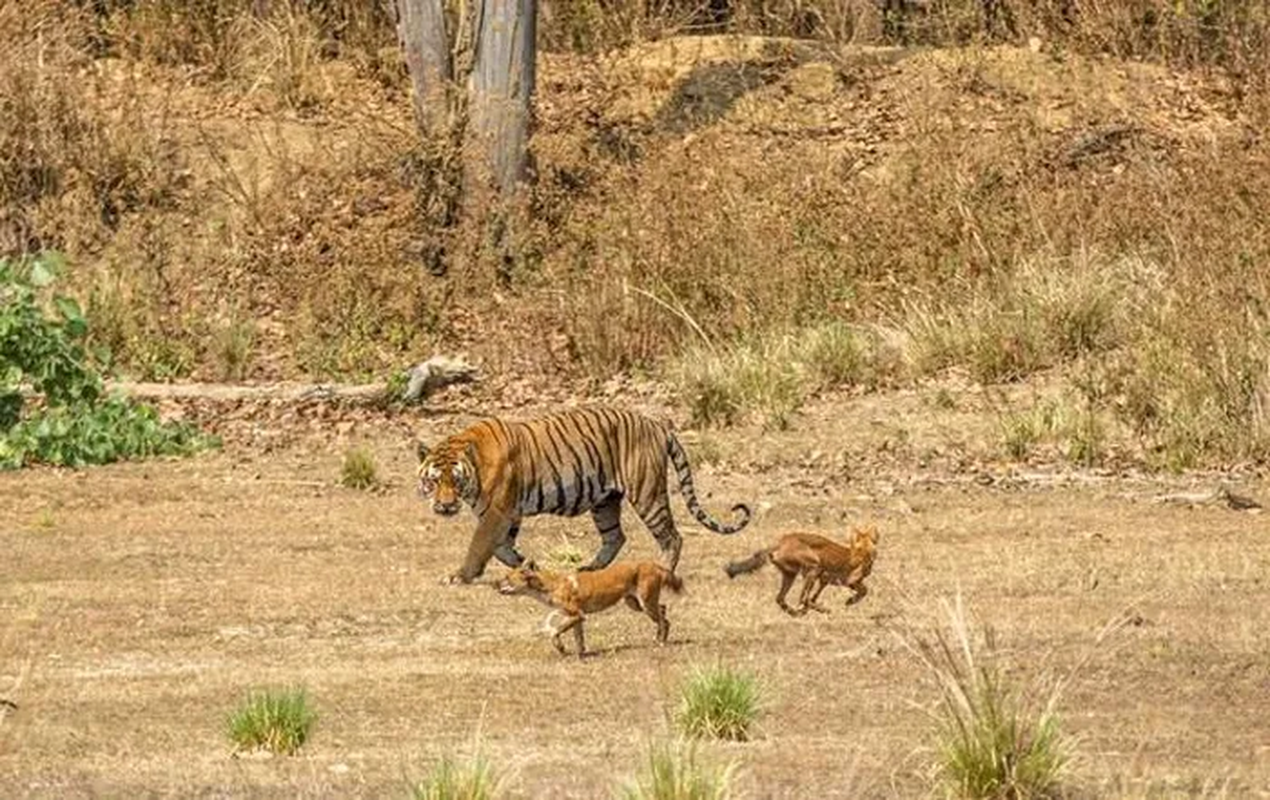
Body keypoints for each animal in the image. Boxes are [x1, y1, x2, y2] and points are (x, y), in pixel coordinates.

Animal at [416, 411, 751, 586]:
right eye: (434, 481)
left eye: (455, 481)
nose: (444, 505)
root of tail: (657, 424)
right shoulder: (508, 514)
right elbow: (501, 548)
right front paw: (527, 565)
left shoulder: (497, 511)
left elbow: (480, 546)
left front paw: (460, 576)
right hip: (605, 501)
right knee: (616, 537)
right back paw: (590, 570)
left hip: (646, 493)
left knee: (672, 537)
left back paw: (663, 572)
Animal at [495, 561, 685, 660]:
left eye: (507, 578)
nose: (494, 583)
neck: (550, 586)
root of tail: (654, 563)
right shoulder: (577, 618)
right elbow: (579, 639)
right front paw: (582, 655)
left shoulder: (578, 615)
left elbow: (554, 632)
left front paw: (562, 649)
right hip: (635, 604)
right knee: (663, 610)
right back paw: (658, 638)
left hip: (645, 604)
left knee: (664, 619)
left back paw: (661, 642)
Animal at [731, 530, 878, 617]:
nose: (870, 566)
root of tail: (780, 544)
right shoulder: (847, 580)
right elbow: (864, 590)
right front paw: (850, 601)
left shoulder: (832, 580)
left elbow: (864, 590)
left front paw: (850, 601)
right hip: (813, 568)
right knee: (802, 599)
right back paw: (821, 610)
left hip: (790, 575)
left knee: (780, 598)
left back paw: (796, 612)